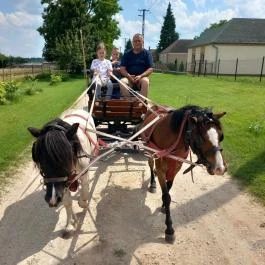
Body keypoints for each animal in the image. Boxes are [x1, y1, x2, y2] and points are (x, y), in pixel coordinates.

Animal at [140, 104, 225, 241]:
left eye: (221, 136)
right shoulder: (161, 166)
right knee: (151, 165)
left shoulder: (176, 167)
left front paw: (164, 207)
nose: (220, 168)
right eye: (200, 138)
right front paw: (169, 228)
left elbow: (168, 189)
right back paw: (153, 183)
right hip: (150, 151)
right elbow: (166, 196)